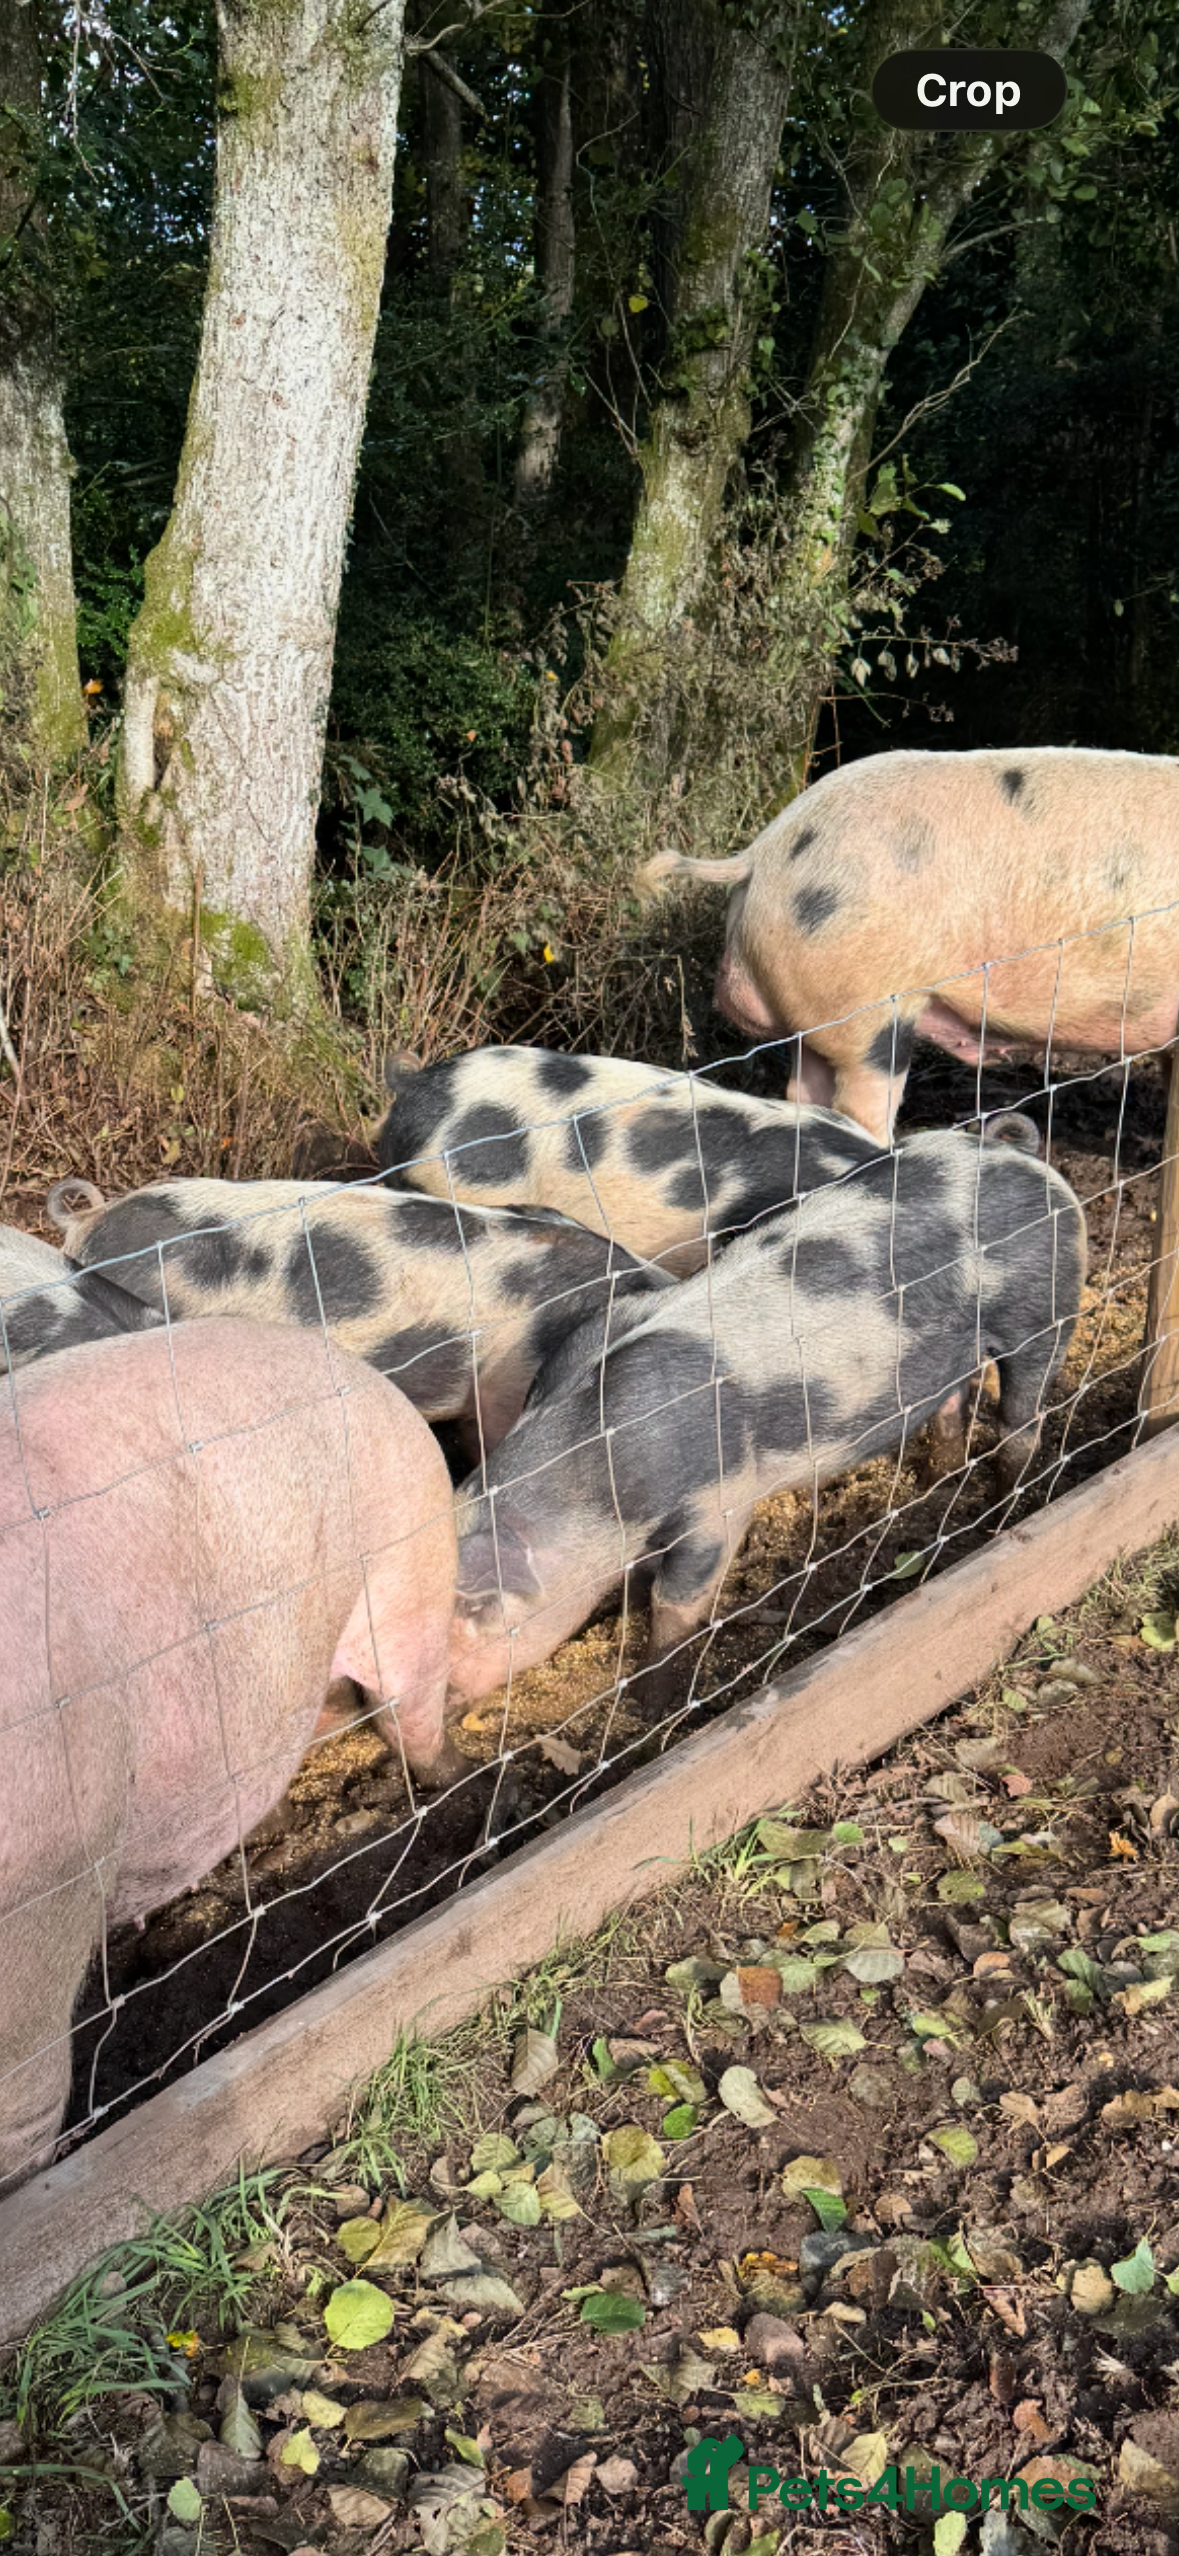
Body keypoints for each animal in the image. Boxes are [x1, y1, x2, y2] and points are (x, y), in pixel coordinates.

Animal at [446, 1127, 1087, 1709]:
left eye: (465, 1620)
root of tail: (1020, 1157)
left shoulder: (720, 1498)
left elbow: (678, 1601)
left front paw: (651, 1704)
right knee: (952, 1404)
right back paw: (937, 1482)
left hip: (1043, 1310)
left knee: (1022, 1422)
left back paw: (998, 1516)